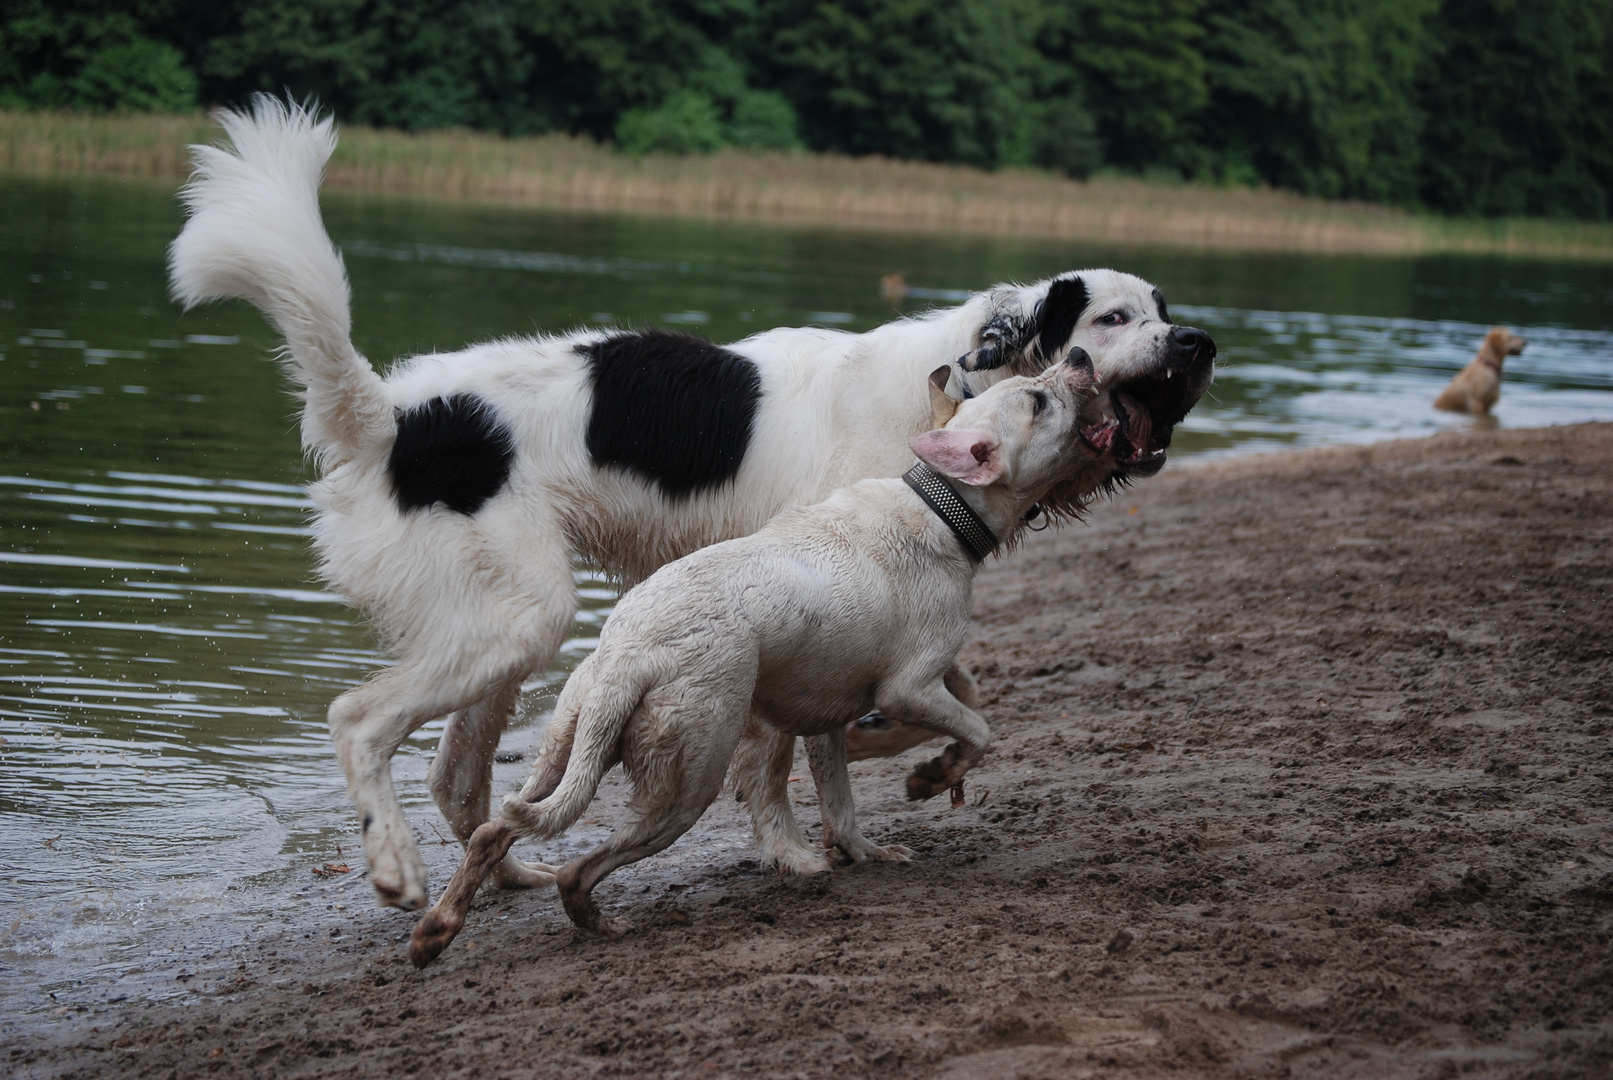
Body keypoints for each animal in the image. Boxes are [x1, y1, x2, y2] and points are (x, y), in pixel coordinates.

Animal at [173, 95, 1212, 915]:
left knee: (460, 780)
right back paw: (394, 866)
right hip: (518, 616)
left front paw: (872, 810)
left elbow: (871, 737)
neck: (951, 386)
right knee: (361, 720)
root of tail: (390, 414)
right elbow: (798, 754)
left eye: (1164, 308)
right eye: (1111, 319)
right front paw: (804, 838)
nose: (1199, 343)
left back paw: (504, 877)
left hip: (499, 628)